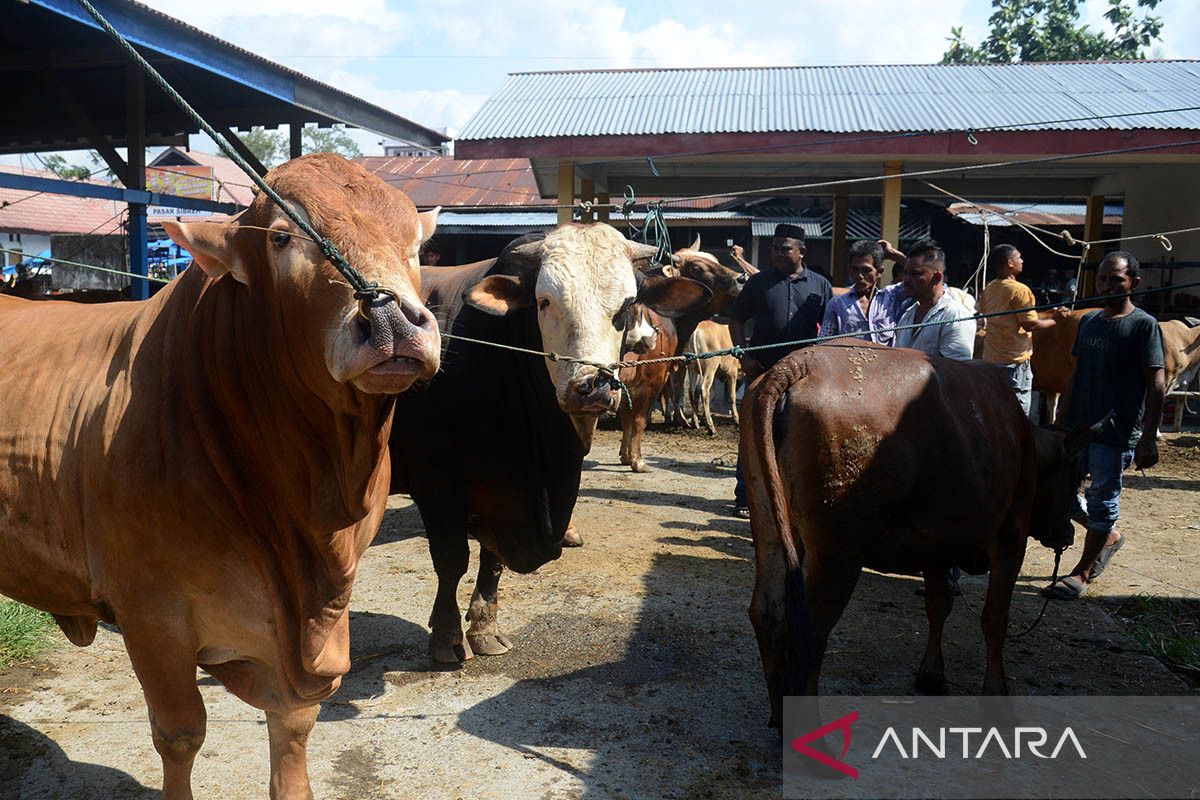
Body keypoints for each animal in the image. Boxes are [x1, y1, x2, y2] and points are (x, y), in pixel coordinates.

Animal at [0, 153, 441, 796]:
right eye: (281, 238)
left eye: (414, 245)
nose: (391, 318)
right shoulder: (150, 615)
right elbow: (181, 733)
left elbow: (294, 723)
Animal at [744, 340, 1099, 729]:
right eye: (1077, 475)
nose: (1066, 533)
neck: (1023, 437)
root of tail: (799, 362)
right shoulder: (1011, 537)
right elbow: (994, 619)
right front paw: (997, 700)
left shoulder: (935, 546)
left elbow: (938, 604)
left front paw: (931, 675)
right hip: (838, 553)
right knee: (810, 631)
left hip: (770, 522)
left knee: (769, 611)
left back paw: (780, 716)